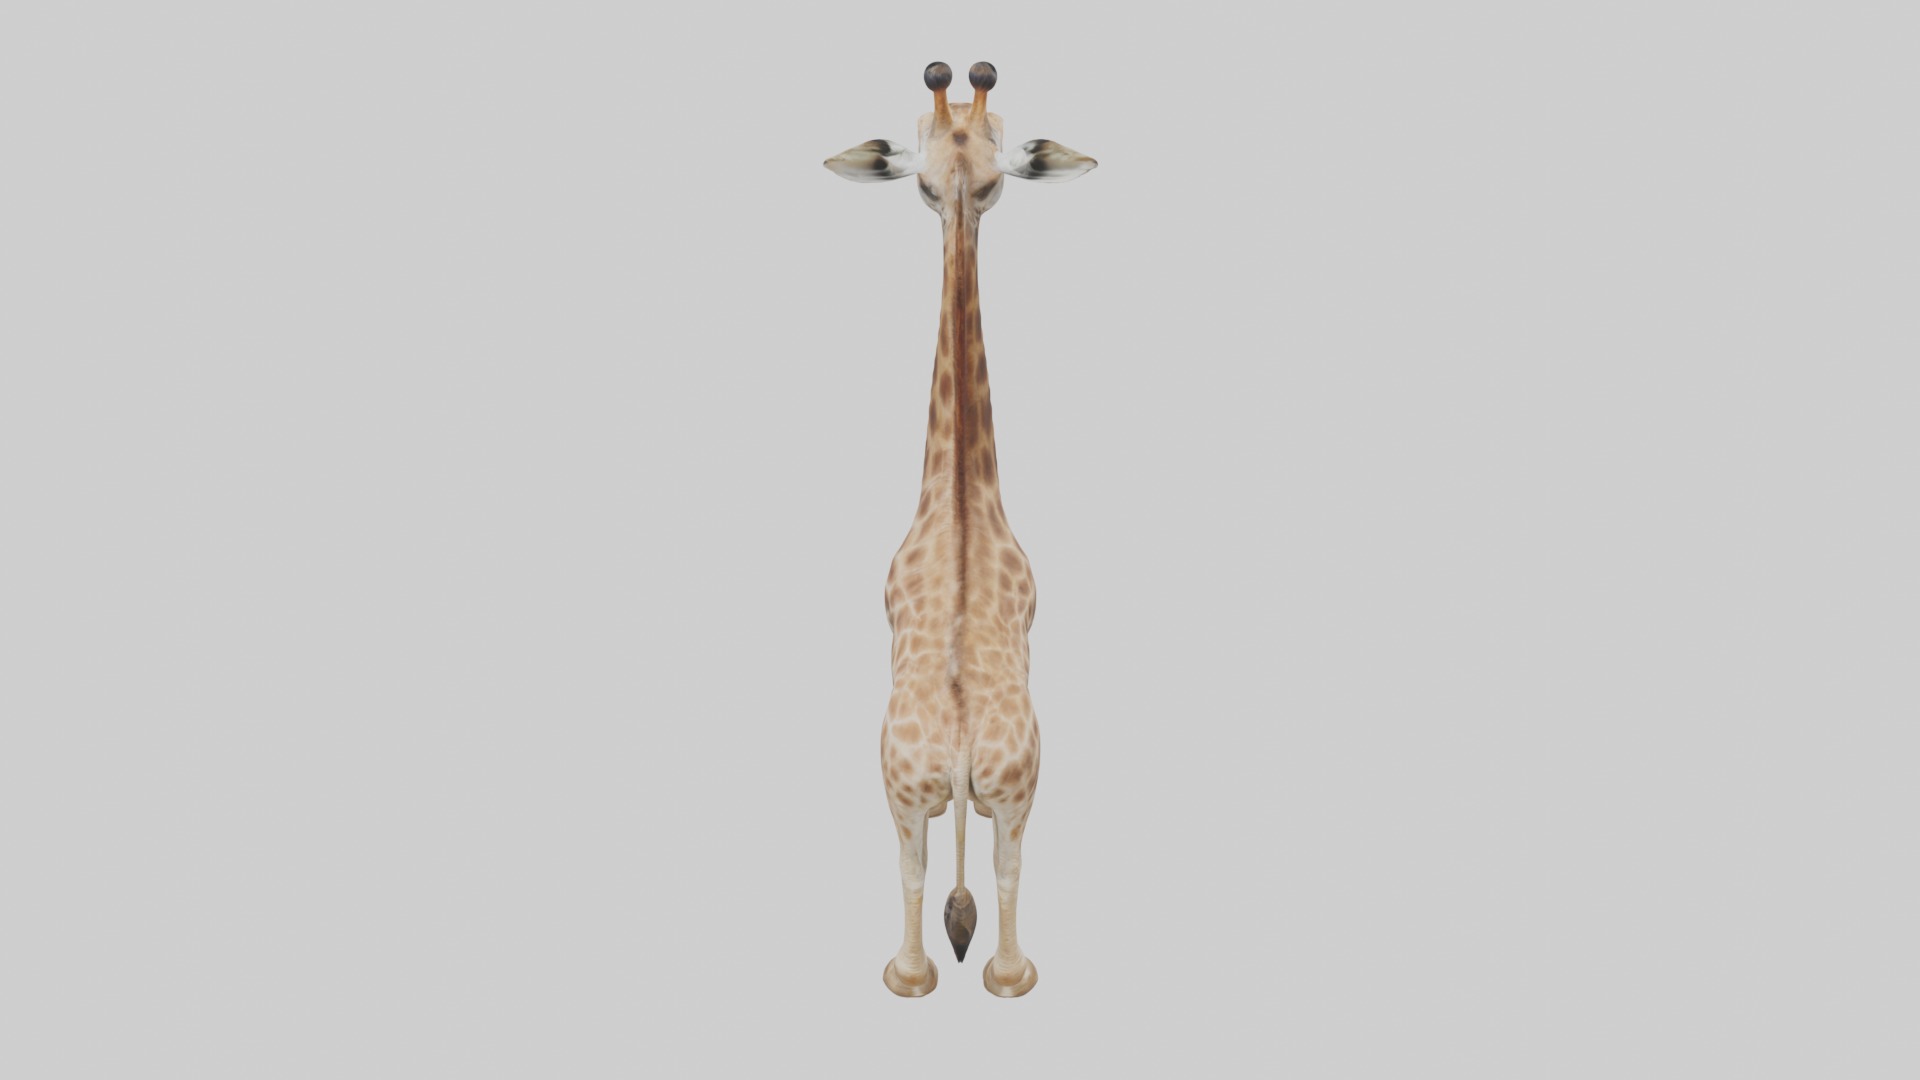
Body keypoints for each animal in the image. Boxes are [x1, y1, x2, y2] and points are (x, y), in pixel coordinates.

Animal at [825, 61, 1097, 998]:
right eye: (925, 179)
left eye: (988, 177)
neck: (960, 500)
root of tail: (958, 747)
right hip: (1013, 787)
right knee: (998, 873)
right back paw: (997, 976)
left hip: (909, 789)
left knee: (922, 873)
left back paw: (920, 977)